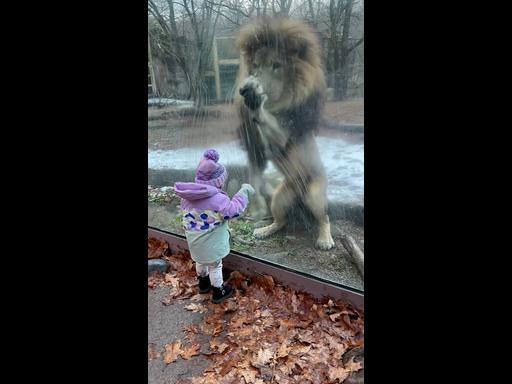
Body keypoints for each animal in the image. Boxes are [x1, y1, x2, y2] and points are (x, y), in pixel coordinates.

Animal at [234, 18, 334, 250]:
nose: (254, 81)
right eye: (256, 66)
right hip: (281, 197)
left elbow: (270, 125)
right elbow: (254, 170)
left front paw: (256, 102)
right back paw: (264, 230)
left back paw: (325, 239)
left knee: (324, 217)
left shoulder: (287, 135)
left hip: (315, 193)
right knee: (281, 221)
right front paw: (256, 206)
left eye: (276, 65)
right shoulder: (256, 149)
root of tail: (299, 193)